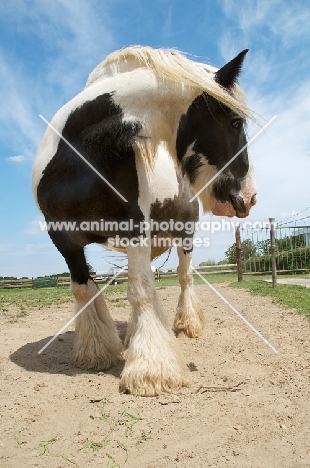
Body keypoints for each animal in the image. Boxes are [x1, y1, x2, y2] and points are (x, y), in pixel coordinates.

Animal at [33, 46, 256, 394]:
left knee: (183, 277)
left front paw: (152, 371)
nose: (248, 197)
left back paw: (186, 325)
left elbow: (141, 290)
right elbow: (85, 290)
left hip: (184, 236)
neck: (77, 162)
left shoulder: (134, 228)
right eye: (235, 121)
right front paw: (97, 352)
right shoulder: (64, 240)